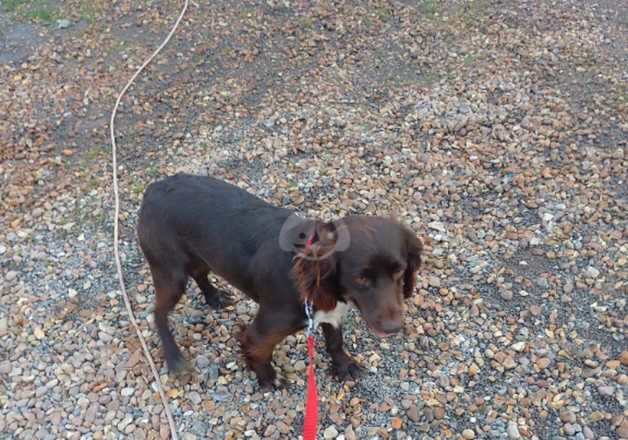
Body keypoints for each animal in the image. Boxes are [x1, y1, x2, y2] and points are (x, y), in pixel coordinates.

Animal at [137, 174, 422, 386]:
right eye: (361, 278)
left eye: (399, 271)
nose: (394, 327)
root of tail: (153, 188)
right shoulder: (265, 329)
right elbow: (257, 349)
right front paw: (268, 378)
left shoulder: (329, 313)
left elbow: (334, 341)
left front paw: (343, 365)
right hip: (170, 272)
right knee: (158, 312)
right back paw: (174, 357)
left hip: (202, 255)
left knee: (199, 272)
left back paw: (213, 296)